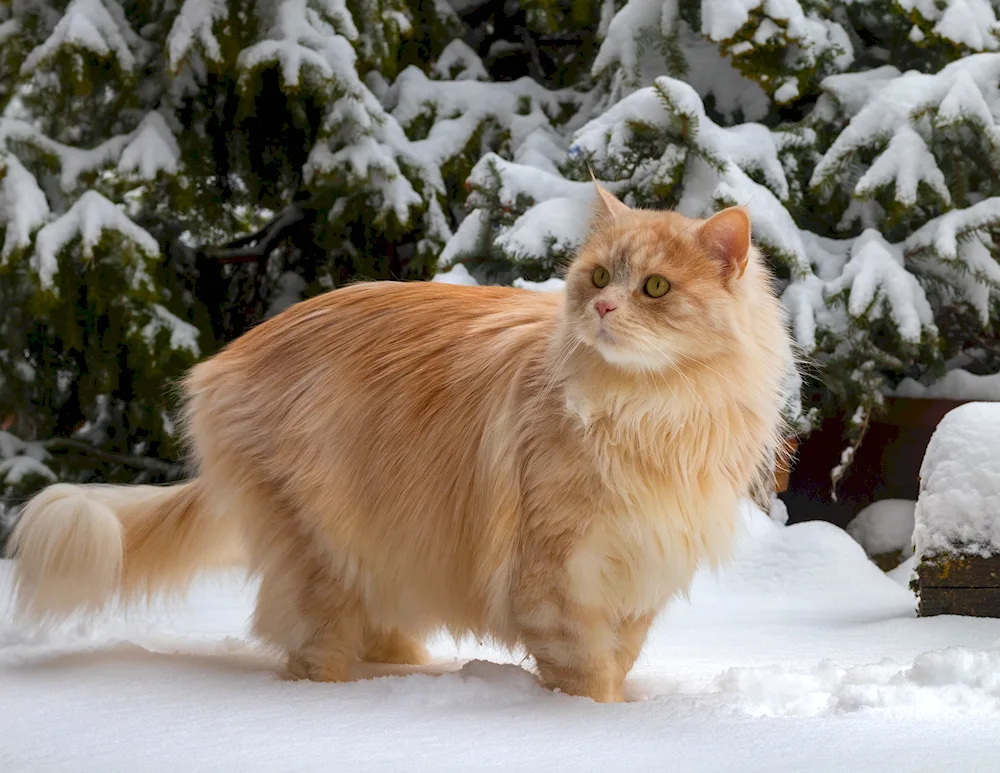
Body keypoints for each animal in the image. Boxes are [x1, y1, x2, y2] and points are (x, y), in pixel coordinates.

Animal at [5, 184, 788, 704]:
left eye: (653, 288)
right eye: (599, 276)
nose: (601, 305)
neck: (648, 414)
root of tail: (220, 364)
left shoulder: (635, 575)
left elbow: (618, 661)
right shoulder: (557, 577)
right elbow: (587, 677)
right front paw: (599, 724)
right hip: (321, 550)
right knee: (310, 649)